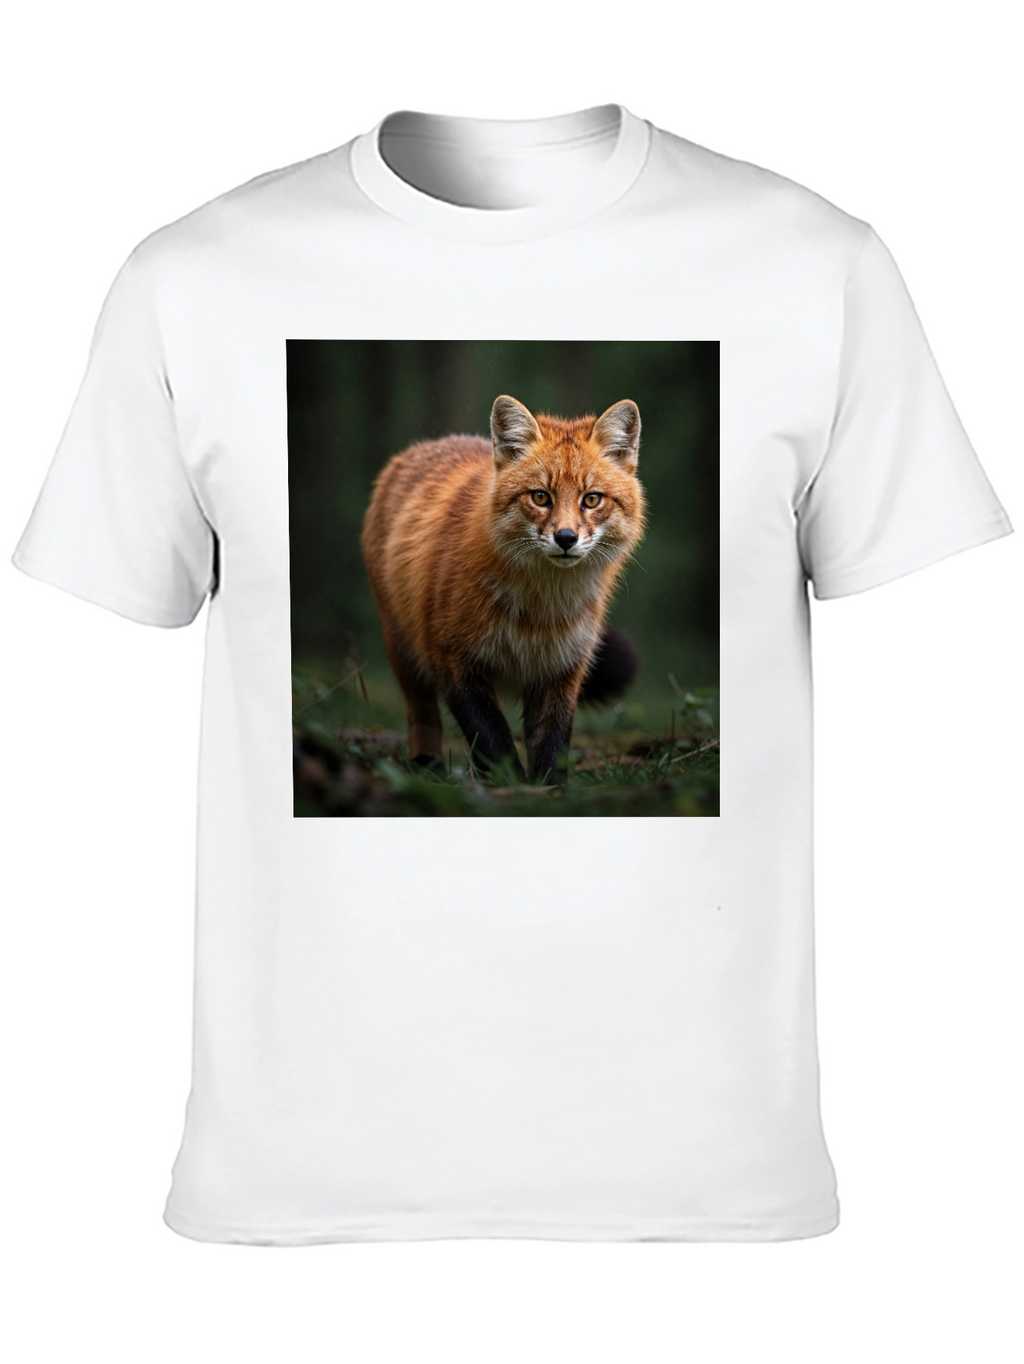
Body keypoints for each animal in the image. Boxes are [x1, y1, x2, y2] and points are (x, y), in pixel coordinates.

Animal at [360, 393, 646, 782]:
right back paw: (427, 765)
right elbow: (492, 739)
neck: (537, 615)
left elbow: (552, 742)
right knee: (422, 715)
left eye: (591, 499)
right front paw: (511, 786)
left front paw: (548, 789)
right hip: (404, 650)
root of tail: (429, 444)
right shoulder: (451, 658)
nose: (566, 538)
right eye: (540, 497)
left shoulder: (562, 667)